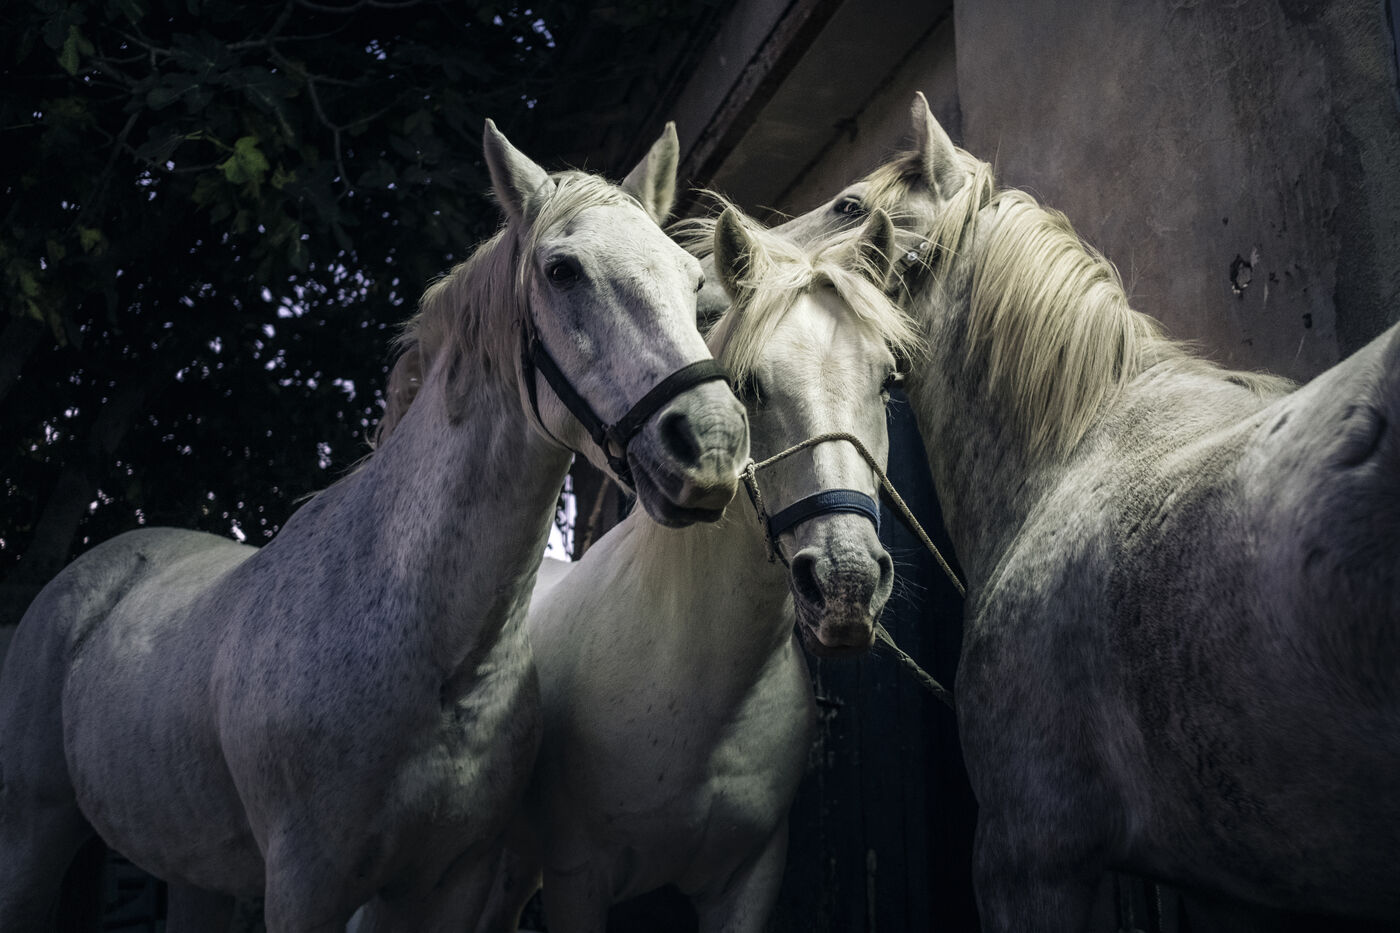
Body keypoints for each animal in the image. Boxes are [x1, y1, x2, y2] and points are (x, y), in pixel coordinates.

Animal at [0, 119, 750, 932]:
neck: (439, 657)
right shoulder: (308, 884)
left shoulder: (447, 881)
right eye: (562, 270)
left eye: (691, 279)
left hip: (195, 870)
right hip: (32, 837)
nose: (710, 442)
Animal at [451, 204, 914, 933]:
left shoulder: (748, 882)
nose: (845, 584)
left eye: (888, 380)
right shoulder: (579, 879)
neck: (702, 685)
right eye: (749, 386)